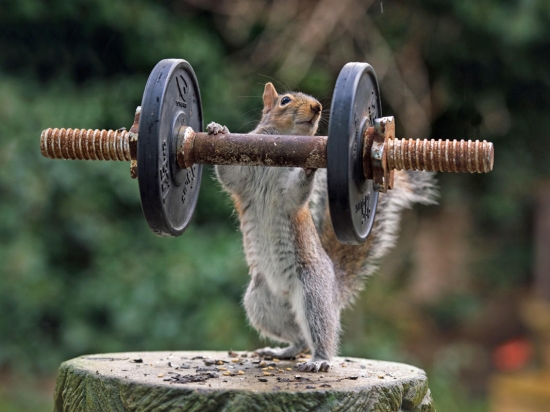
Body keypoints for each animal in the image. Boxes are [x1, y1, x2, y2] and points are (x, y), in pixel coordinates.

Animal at [208, 82, 440, 372]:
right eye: (285, 100)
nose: (317, 108)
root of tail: (333, 291)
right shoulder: (243, 176)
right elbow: (228, 174)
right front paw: (218, 130)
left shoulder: (287, 195)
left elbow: (296, 192)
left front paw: (310, 168)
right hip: (262, 303)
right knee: (298, 337)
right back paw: (282, 351)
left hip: (313, 293)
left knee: (319, 333)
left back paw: (319, 360)